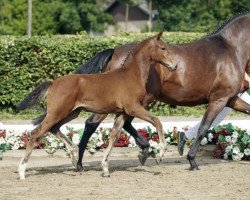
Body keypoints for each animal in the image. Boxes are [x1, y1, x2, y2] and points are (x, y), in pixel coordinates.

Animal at [17, 32, 176, 180]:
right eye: (163, 48)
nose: (174, 66)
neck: (131, 75)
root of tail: (53, 83)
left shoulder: (122, 113)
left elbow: (114, 135)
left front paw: (105, 169)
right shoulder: (133, 108)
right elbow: (156, 121)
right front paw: (160, 154)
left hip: (71, 112)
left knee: (54, 128)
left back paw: (74, 155)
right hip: (58, 112)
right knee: (35, 133)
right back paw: (22, 171)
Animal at [71, 11, 250, 170]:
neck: (230, 49)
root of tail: (115, 51)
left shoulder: (231, 99)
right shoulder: (218, 99)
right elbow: (203, 128)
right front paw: (192, 161)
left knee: (112, 123)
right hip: (134, 100)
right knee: (96, 123)